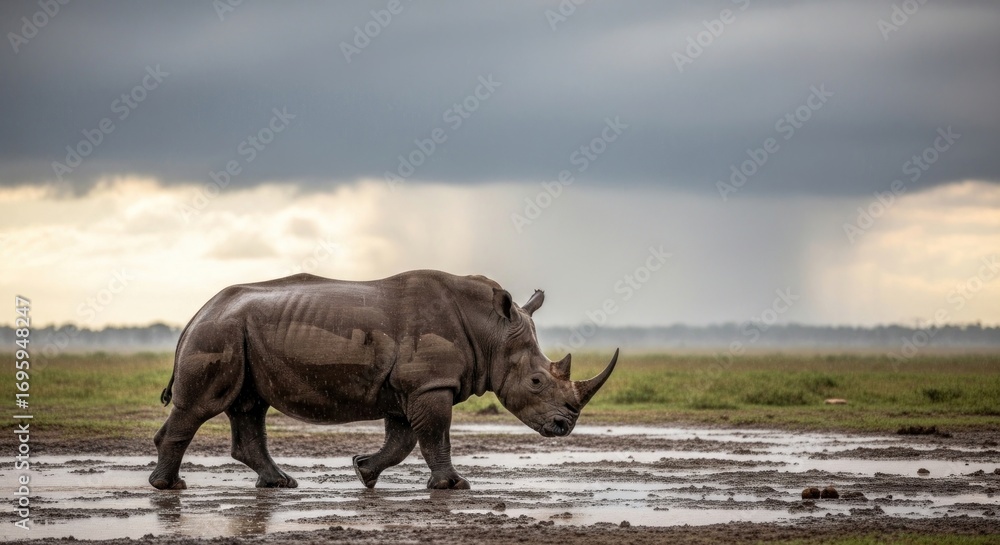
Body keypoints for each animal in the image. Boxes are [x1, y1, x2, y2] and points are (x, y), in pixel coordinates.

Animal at [149, 270, 618, 490]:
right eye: (537, 381)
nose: (564, 426)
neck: (491, 332)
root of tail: (197, 312)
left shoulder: (410, 387)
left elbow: (403, 440)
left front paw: (364, 472)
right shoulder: (430, 384)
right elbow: (435, 436)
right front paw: (454, 486)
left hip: (234, 332)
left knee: (249, 405)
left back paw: (280, 483)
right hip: (219, 332)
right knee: (201, 406)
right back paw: (169, 486)